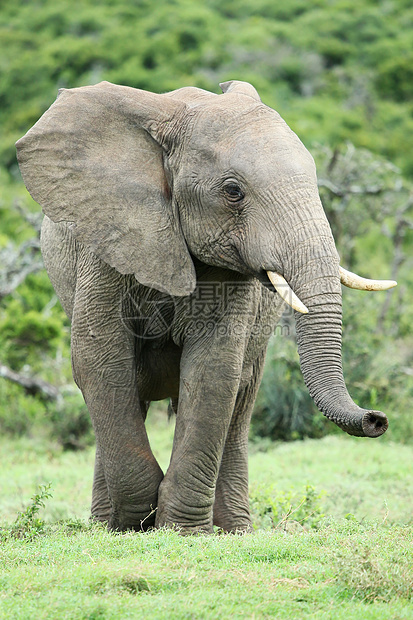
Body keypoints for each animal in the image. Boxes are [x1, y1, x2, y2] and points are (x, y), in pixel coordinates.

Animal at [16, 77, 396, 532]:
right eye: (233, 192)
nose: (377, 419)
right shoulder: (105, 241)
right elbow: (100, 359)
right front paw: (136, 524)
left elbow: (213, 370)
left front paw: (179, 530)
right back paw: (105, 524)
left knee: (241, 400)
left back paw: (235, 532)